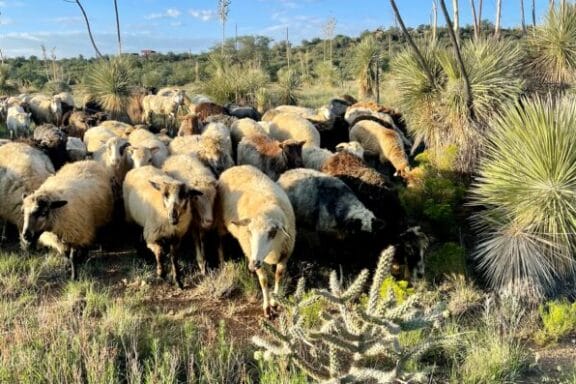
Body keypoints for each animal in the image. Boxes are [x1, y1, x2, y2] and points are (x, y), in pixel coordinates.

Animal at [217, 165, 296, 318]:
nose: (253, 264)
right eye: (249, 231)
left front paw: (275, 302)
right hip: (222, 225)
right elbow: (264, 280)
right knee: (221, 241)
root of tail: (236, 166)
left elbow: (278, 276)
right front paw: (267, 308)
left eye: (272, 233)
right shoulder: (253, 254)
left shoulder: (284, 254)